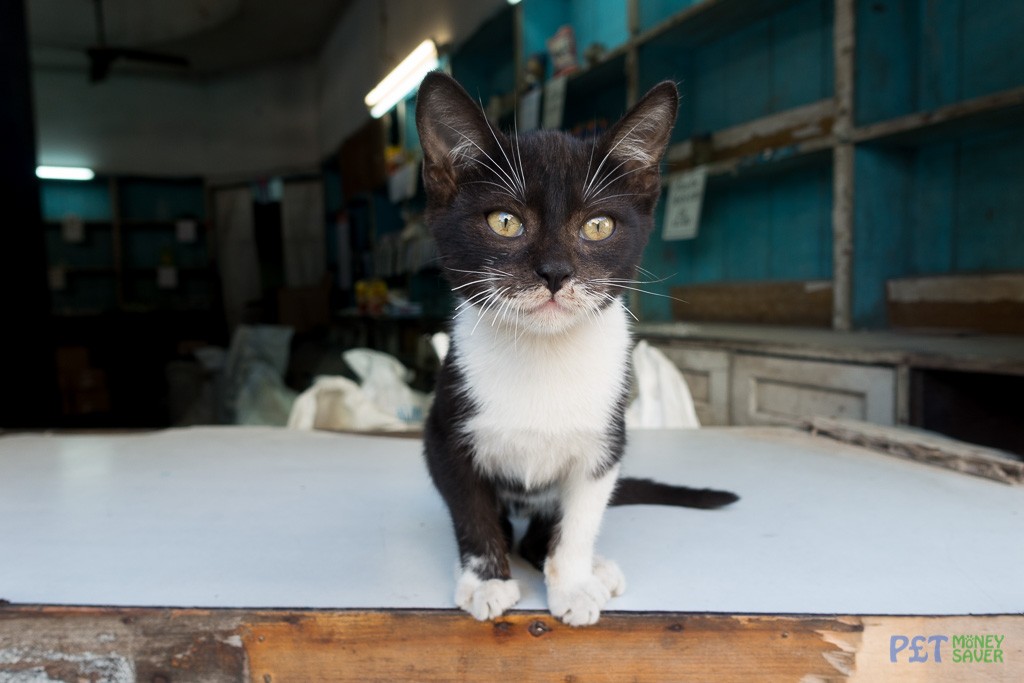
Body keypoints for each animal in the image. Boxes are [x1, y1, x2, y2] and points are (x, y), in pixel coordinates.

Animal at [415, 72, 737, 626]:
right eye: (505, 222)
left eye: (598, 226)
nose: (555, 272)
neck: (544, 354)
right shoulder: (445, 433)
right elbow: (471, 512)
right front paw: (486, 582)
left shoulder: (605, 443)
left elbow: (580, 519)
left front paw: (572, 584)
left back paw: (591, 568)